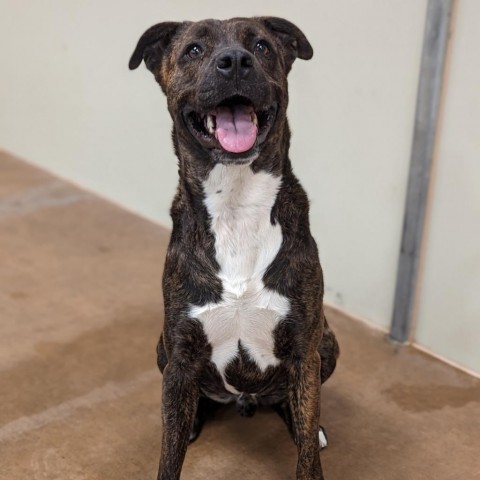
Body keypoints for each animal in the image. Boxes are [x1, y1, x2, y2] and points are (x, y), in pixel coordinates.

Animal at [129, 15, 340, 480]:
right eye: (193, 49)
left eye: (261, 46)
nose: (236, 61)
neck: (237, 204)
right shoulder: (180, 354)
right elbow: (169, 452)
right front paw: (178, 433)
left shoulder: (305, 350)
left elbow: (307, 452)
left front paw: (308, 440)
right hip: (162, 349)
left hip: (327, 344)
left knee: (297, 408)